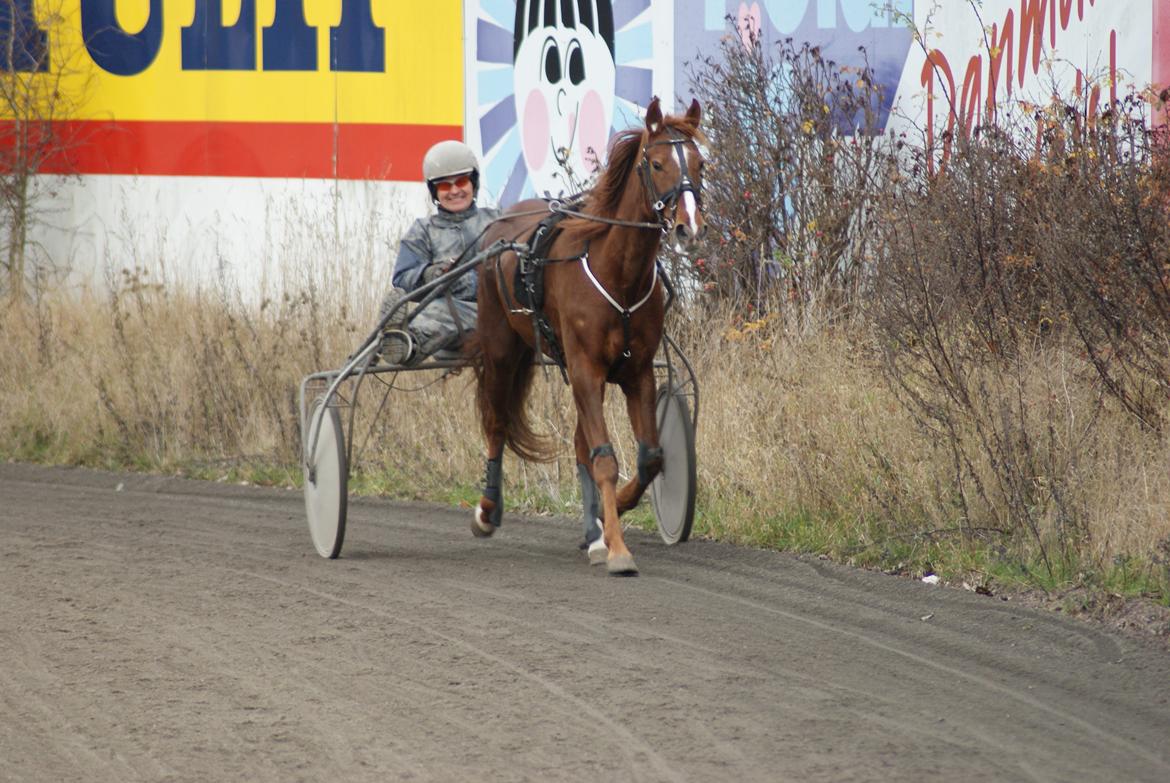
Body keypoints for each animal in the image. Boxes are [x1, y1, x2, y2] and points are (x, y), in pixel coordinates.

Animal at [470, 99, 706, 573]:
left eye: (700, 163)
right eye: (657, 163)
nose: (688, 226)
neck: (617, 270)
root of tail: (501, 222)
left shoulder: (637, 373)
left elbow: (650, 456)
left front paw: (611, 515)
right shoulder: (586, 369)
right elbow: (605, 459)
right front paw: (617, 549)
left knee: (580, 444)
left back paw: (593, 532)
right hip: (502, 347)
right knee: (497, 422)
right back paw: (488, 510)